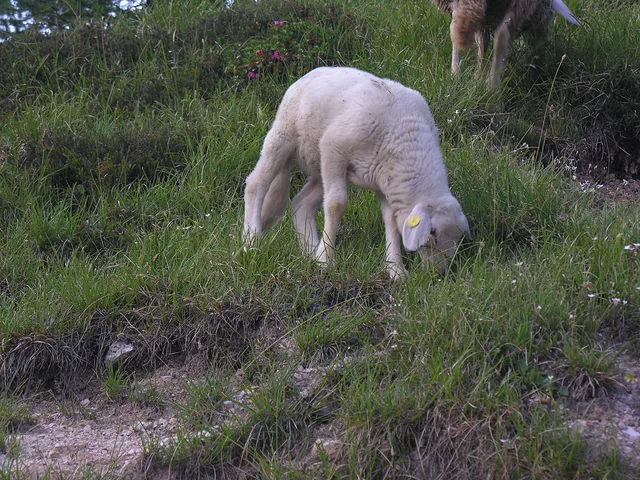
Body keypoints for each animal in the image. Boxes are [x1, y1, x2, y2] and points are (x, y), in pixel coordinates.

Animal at [243, 66, 470, 280]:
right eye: (432, 233)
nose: (439, 273)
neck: (404, 138)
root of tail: (311, 74)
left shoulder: (386, 182)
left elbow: (391, 222)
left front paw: (395, 269)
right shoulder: (333, 148)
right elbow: (336, 204)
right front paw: (326, 260)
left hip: (319, 165)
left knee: (301, 203)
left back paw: (310, 252)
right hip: (285, 135)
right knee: (256, 183)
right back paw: (251, 241)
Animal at [431, 0, 580, 87]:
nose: (542, 43)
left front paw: (459, 76)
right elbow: (481, 47)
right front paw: (476, 76)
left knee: (501, 36)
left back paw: (492, 88)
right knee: (501, 36)